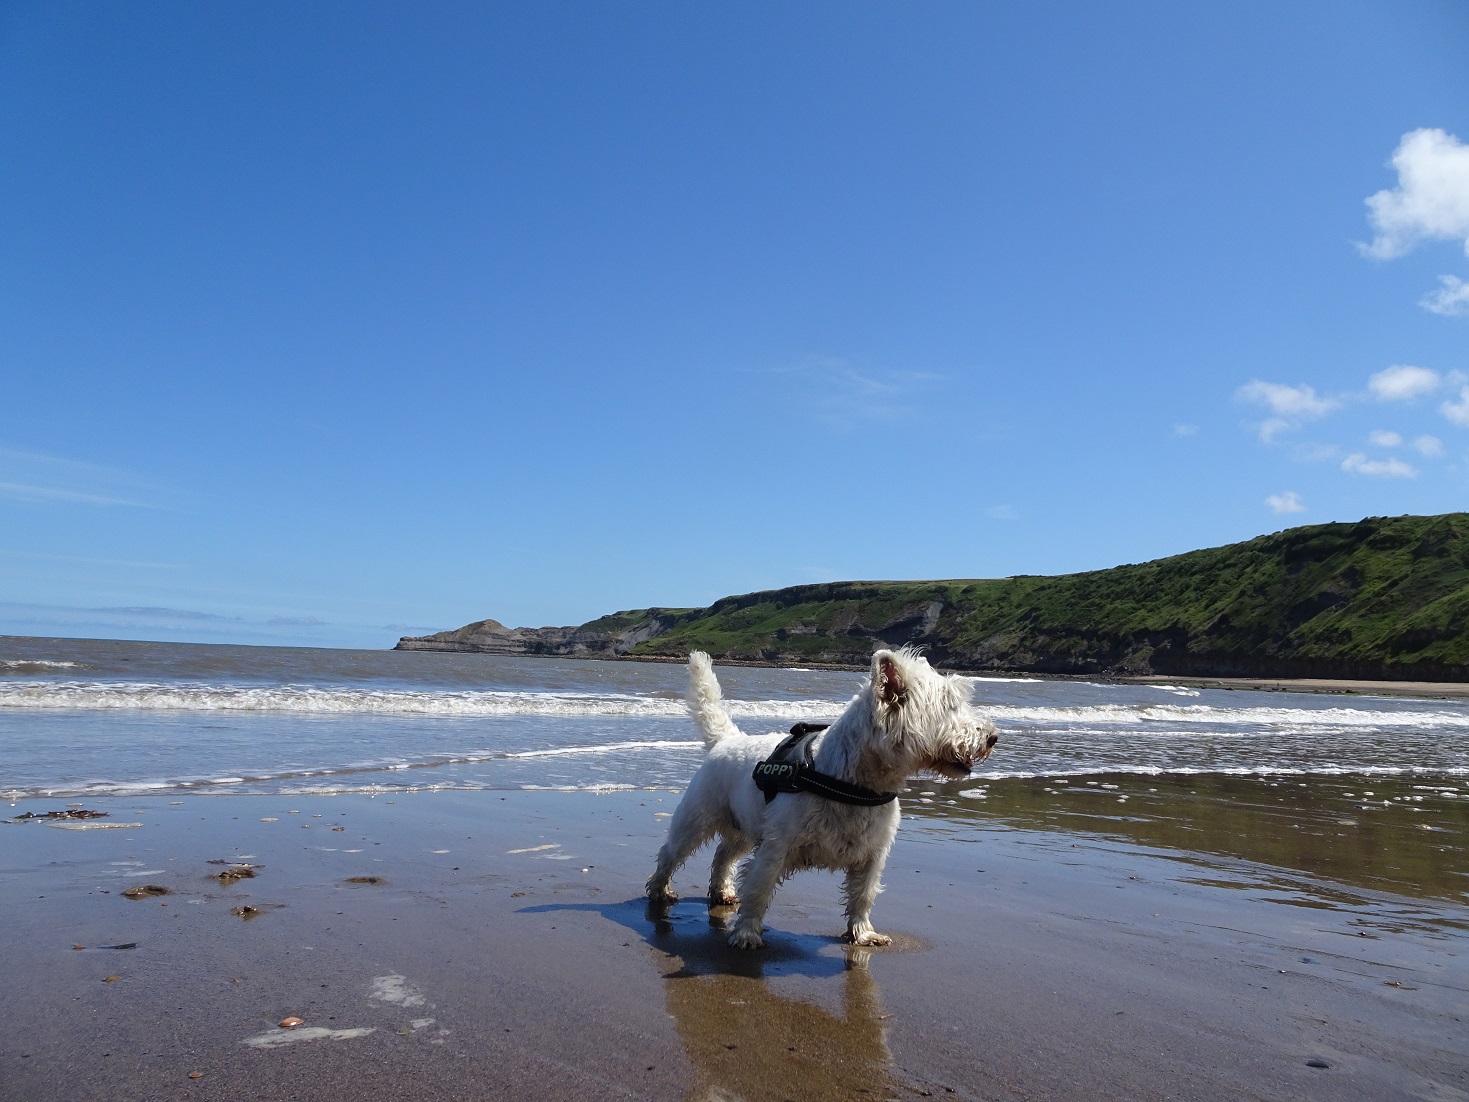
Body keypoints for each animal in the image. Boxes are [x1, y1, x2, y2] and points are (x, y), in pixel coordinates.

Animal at [646, 652, 998, 952]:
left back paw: (722, 892)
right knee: (671, 854)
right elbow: (759, 888)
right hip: (697, 819)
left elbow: (863, 895)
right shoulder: (775, 847)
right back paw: (660, 891)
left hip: (745, 828)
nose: (992, 737)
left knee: (723, 855)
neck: (855, 781)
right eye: (949, 704)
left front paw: (864, 934)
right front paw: (746, 934)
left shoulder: (873, 854)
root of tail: (727, 739)